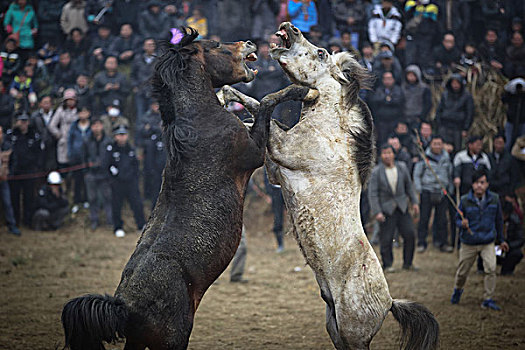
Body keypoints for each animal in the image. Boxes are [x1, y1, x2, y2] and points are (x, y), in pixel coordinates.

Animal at [59, 28, 296, 350]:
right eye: (216, 46)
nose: (248, 43)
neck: (199, 119)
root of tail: (125, 307)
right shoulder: (254, 152)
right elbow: (268, 101)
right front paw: (296, 91)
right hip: (174, 337)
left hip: (138, 342)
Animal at [220, 23, 438, 350]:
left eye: (321, 53)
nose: (290, 28)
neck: (329, 128)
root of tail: (389, 303)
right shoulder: (275, 169)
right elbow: (255, 114)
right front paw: (226, 95)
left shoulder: (284, 149)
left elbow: (264, 114)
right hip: (334, 327)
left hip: (352, 332)